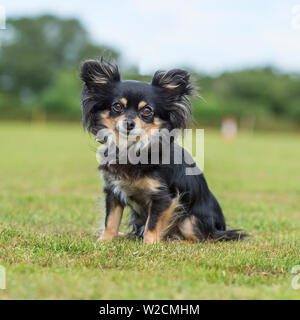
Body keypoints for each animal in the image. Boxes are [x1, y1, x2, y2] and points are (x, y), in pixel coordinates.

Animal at [80, 57, 246, 244]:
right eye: (117, 106)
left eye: (147, 110)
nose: (129, 123)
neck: (133, 148)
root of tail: (219, 229)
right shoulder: (113, 191)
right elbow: (111, 220)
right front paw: (105, 240)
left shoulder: (162, 197)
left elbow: (152, 224)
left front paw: (150, 243)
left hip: (190, 221)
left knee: (202, 238)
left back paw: (174, 240)